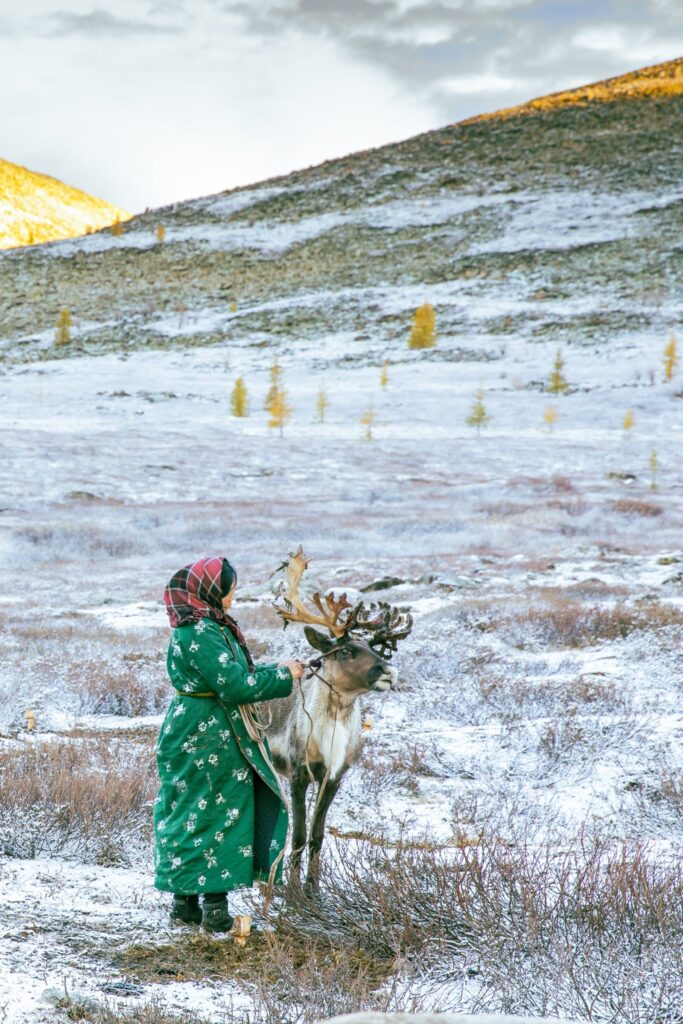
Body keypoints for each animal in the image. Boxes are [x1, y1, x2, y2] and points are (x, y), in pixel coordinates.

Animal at [263, 547, 412, 890]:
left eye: (372, 647)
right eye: (344, 652)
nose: (390, 671)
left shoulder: (334, 776)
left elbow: (317, 836)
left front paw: (313, 889)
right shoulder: (299, 772)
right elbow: (299, 836)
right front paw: (294, 891)